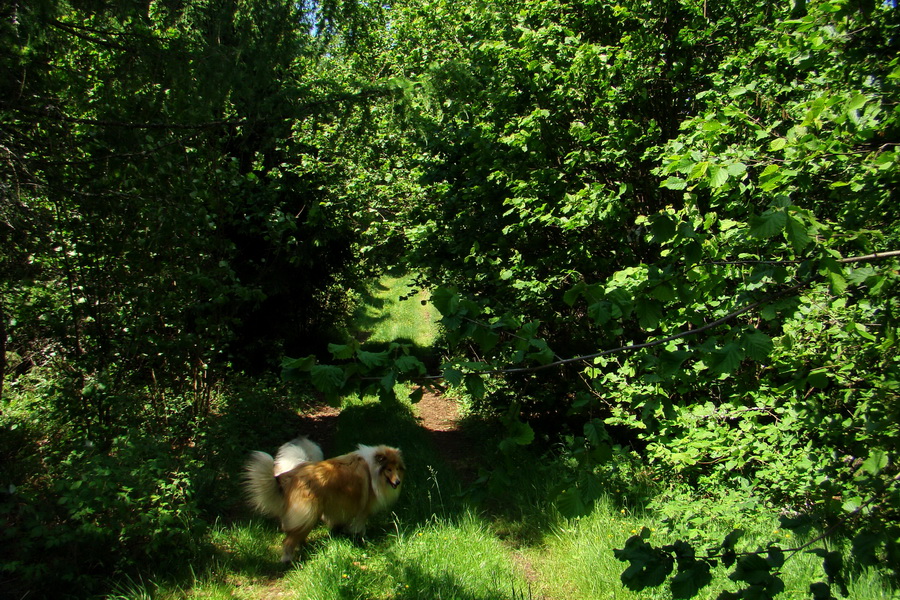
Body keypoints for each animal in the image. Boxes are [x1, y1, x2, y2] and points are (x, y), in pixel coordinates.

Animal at [243, 436, 404, 564]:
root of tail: (290, 477)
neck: (375, 471)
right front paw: (362, 538)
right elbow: (360, 526)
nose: (397, 482)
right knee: (288, 540)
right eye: (389, 469)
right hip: (308, 513)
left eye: (397, 468)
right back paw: (287, 559)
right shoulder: (363, 508)